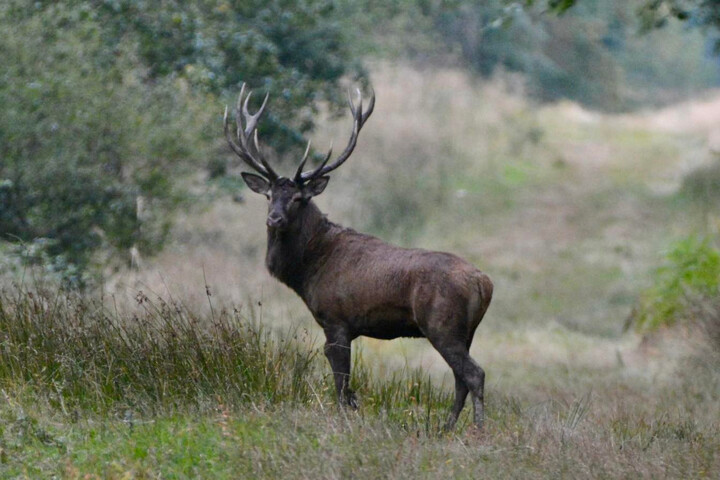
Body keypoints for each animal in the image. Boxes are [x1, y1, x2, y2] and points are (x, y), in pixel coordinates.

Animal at [224, 84, 493, 430]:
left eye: (298, 198)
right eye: (269, 196)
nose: (274, 220)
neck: (307, 270)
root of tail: (484, 283)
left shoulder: (335, 318)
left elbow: (342, 381)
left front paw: (343, 420)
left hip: (442, 324)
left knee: (474, 373)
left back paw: (477, 428)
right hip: (466, 331)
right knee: (461, 377)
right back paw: (446, 428)